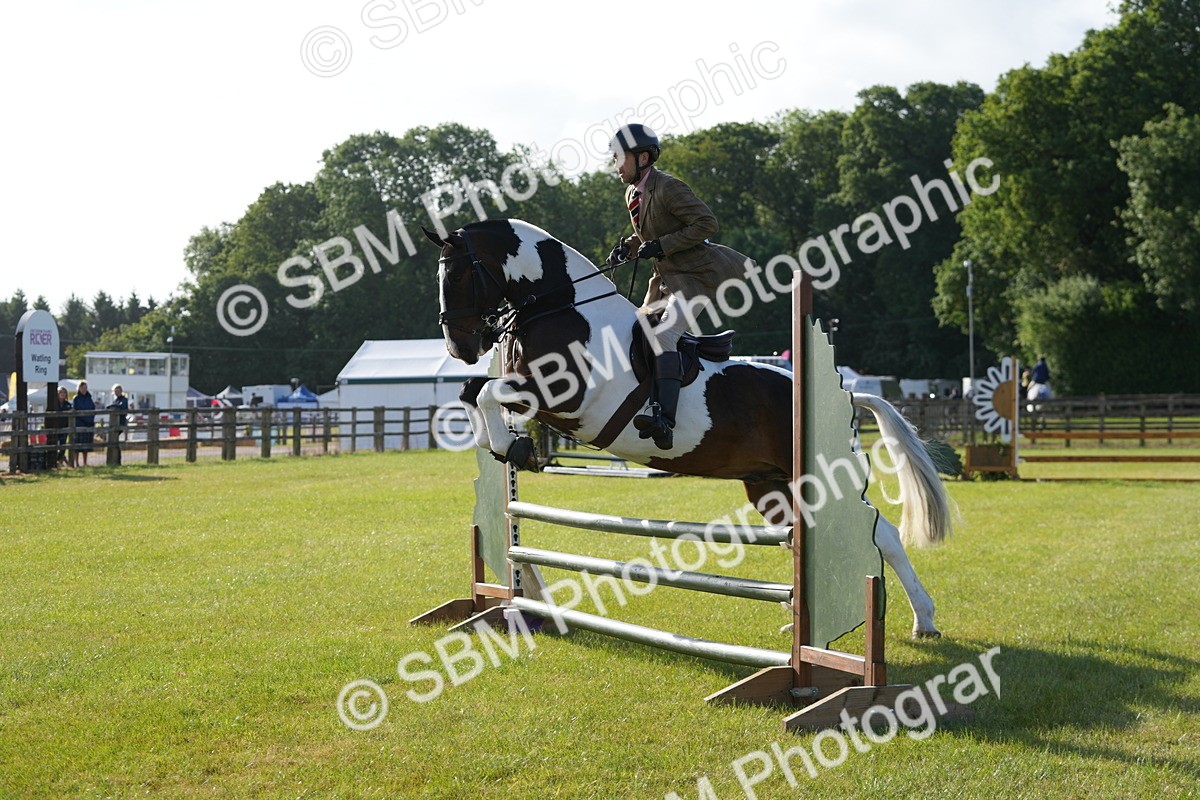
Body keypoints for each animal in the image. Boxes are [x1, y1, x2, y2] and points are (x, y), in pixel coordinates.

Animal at [427, 218, 950, 638]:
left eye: (458, 274)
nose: (459, 347)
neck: (561, 309)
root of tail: (846, 396)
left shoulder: (563, 398)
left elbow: (486, 393)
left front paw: (512, 446)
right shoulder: (530, 391)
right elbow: (474, 391)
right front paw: (508, 447)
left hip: (818, 477)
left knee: (884, 535)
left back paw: (924, 620)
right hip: (772, 487)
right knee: (806, 533)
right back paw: (797, 623)